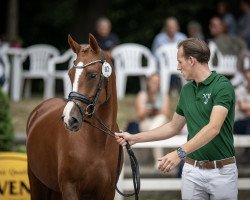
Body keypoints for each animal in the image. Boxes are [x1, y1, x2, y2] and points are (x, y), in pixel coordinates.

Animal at [25, 33, 121, 199]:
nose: (70, 119)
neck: (98, 143)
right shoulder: (69, 187)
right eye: (70, 74)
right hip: (37, 183)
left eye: (93, 75)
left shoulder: (107, 192)